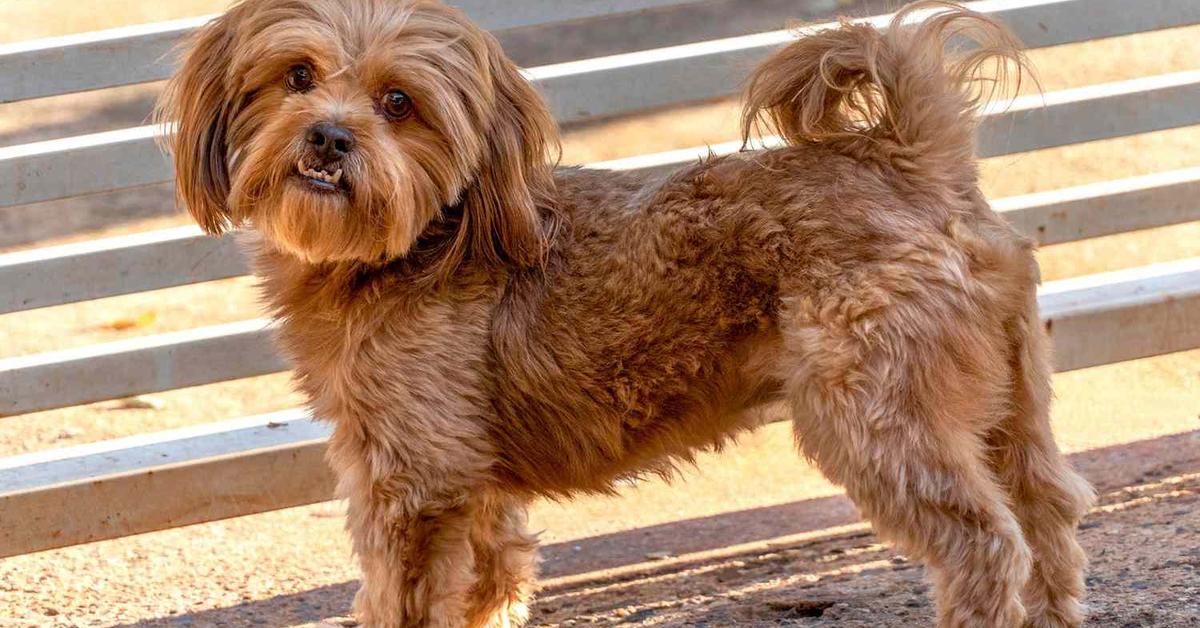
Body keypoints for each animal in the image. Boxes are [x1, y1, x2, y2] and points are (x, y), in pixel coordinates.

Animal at [159, 0, 1099, 624]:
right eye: (297, 76)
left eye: (399, 102)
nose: (327, 136)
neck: (421, 239)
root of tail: (911, 161)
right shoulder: (472, 483)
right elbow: (493, 580)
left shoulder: (414, 484)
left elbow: (406, 599)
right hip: (1010, 411)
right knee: (1047, 521)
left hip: (877, 420)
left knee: (986, 547)